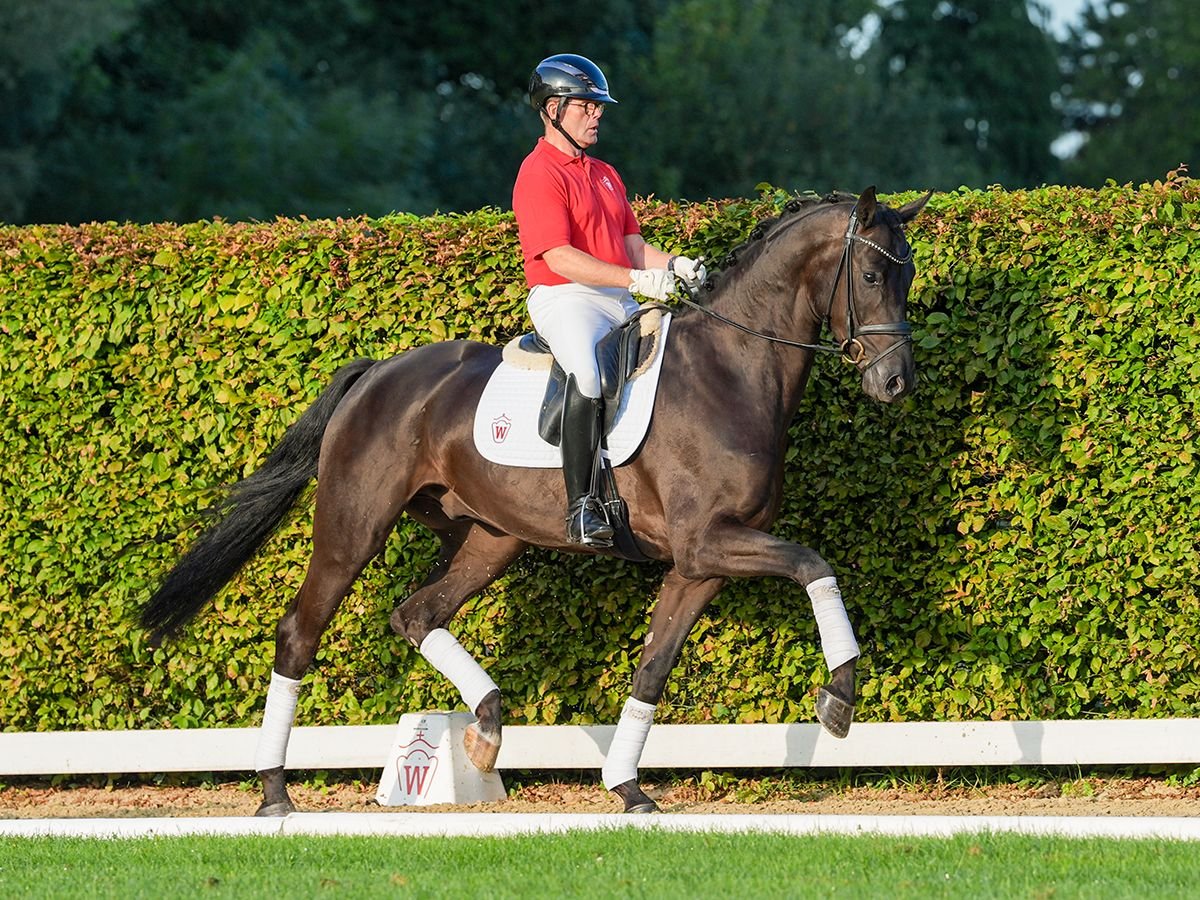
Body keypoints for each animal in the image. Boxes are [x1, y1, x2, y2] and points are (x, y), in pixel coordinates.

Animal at [138, 188, 926, 816]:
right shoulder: (710, 541)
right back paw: (274, 792)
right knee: (300, 632)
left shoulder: (697, 565)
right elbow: (814, 564)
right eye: (869, 273)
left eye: (909, 273)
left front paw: (627, 789)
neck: (731, 370)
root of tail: (379, 372)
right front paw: (840, 697)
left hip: (490, 537)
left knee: (416, 614)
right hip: (352, 528)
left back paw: (487, 728)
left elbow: (653, 668)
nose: (895, 384)